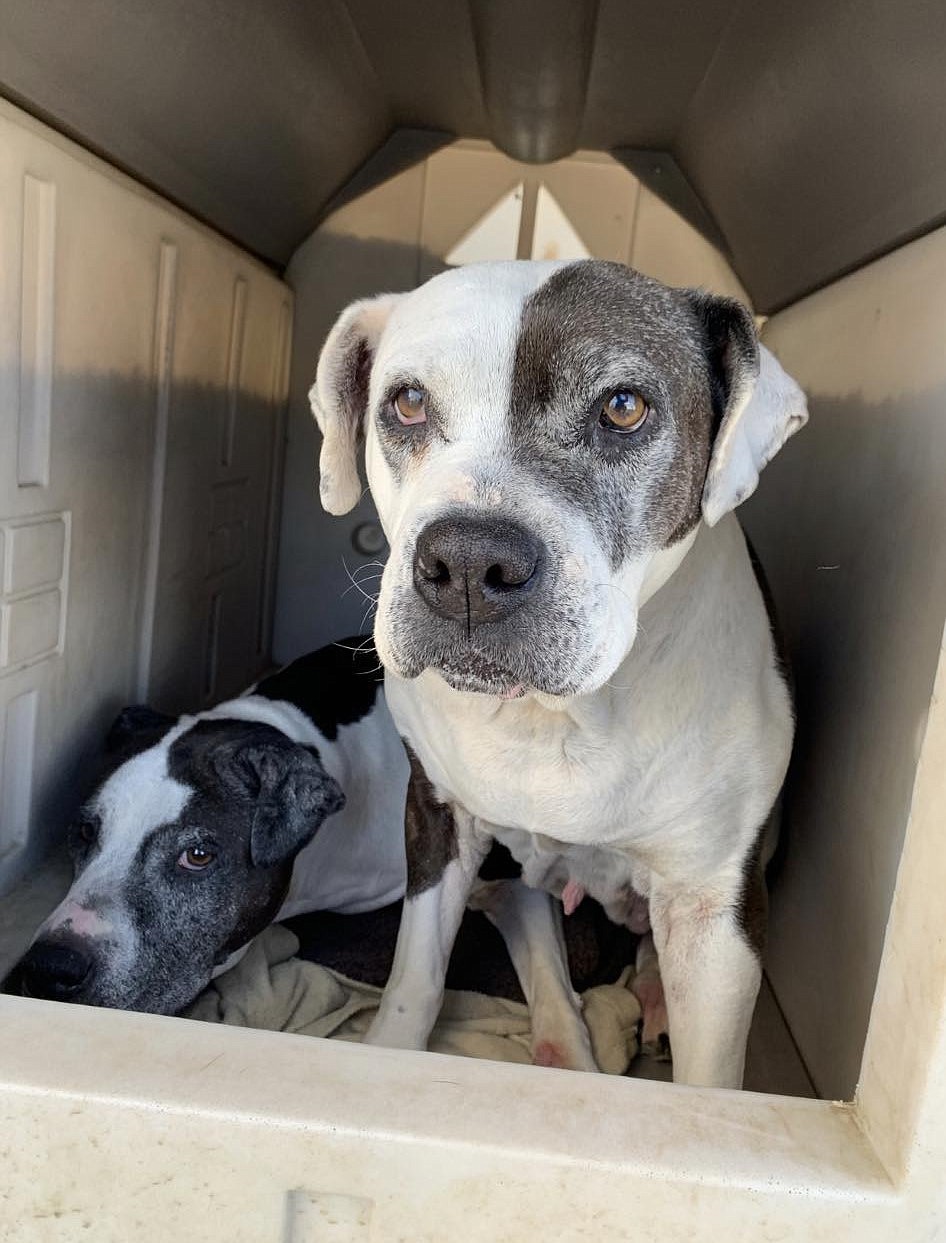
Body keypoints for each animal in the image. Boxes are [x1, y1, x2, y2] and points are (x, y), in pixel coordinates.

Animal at [309, 262, 805, 1088]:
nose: (468, 563)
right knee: (527, 920)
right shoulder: (435, 811)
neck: (556, 716)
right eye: (408, 402)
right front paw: (388, 1052)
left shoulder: (714, 911)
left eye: (623, 407)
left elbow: (708, 1081)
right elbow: (417, 974)